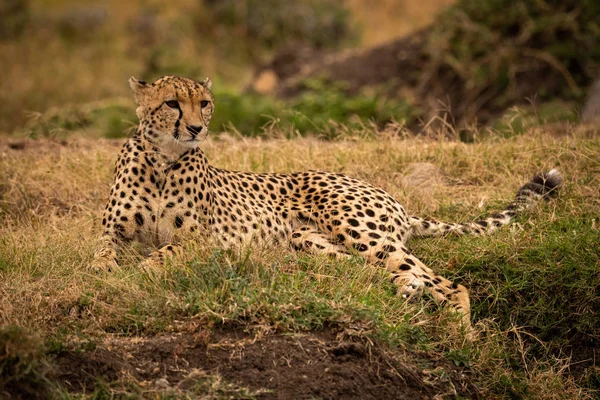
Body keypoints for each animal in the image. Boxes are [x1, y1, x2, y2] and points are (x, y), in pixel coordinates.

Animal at [91, 76, 564, 328]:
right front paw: (105, 273)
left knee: (449, 284)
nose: (195, 128)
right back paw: (404, 293)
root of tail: (390, 196)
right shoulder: (112, 231)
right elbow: (100, 254)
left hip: (360, 231)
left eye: (203, 103)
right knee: (377, 275)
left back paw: (462, 337)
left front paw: (140, 272)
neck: (162, 159)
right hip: (309, 242)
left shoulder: (207, 240)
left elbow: (165, 252)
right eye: (172, 103)